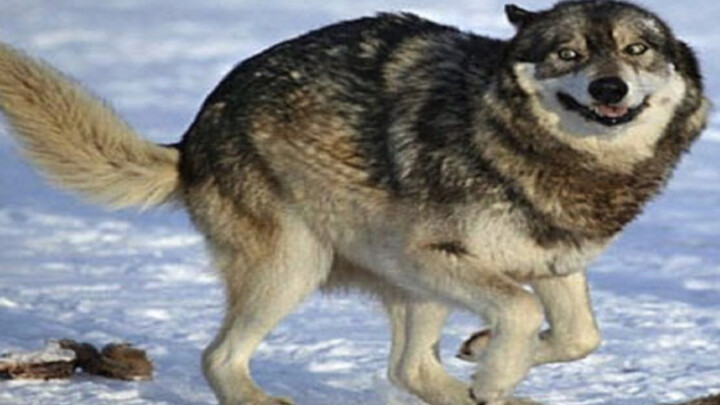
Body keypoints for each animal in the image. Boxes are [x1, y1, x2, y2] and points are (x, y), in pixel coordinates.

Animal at [0, 1, 708, 404]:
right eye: (569, 53)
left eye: (637, 50)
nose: (610, 87)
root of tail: (191, 139)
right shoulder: (429, 255)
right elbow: (518, 308)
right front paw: (493, 376)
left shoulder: (554, 260)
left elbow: (579, 335)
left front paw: (485, 362)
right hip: (301, 265)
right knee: (219, 358)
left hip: (406, 291)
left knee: (408, 371)